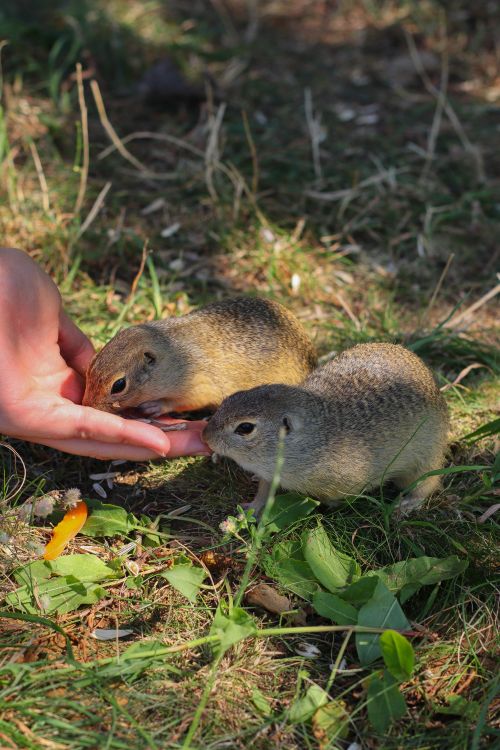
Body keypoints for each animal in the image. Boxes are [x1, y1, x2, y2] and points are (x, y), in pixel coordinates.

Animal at [83, 297, 317, 417]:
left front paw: (156, 406)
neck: (171, 353)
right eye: (91, 365)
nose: (87, 405)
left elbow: (192, 400)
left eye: (119, 385)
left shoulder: (198, 382)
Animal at [203, 343, 449, 515]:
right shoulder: (270, 473)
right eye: (232, 397)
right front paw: (253, 507)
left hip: (426, 458)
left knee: (428, 484)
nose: (205, 436)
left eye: (245, 428)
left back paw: (408, 503)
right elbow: (264, 489)